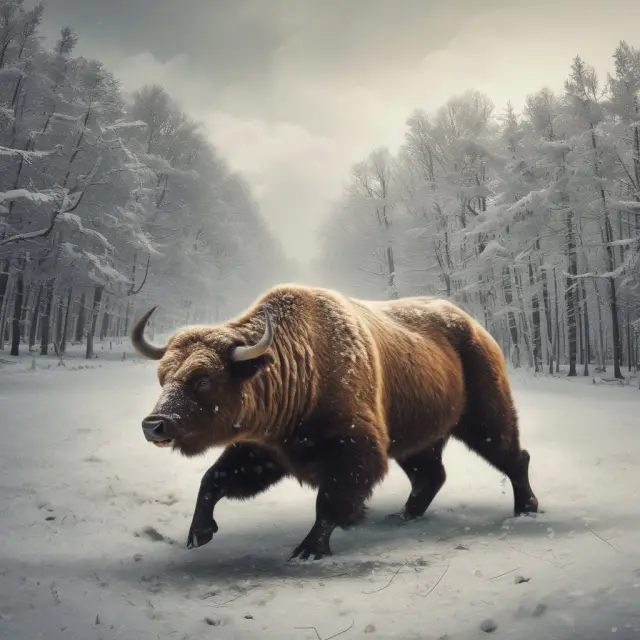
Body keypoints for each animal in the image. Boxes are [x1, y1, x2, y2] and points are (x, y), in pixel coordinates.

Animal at [131, 283, 538, 561]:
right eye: (163, 376)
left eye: (204, 378)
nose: (154, 425)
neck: (299, 360)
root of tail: (477, 329)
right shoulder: (263, 449)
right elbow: (213, 479)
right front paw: (198, 534)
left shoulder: (352, 451)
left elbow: (329, 502)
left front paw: (309, 550)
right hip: (417, 440)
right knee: (430, 474)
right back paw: (403, 515)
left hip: (485, 419)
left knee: (513, 457)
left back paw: (526, 508)